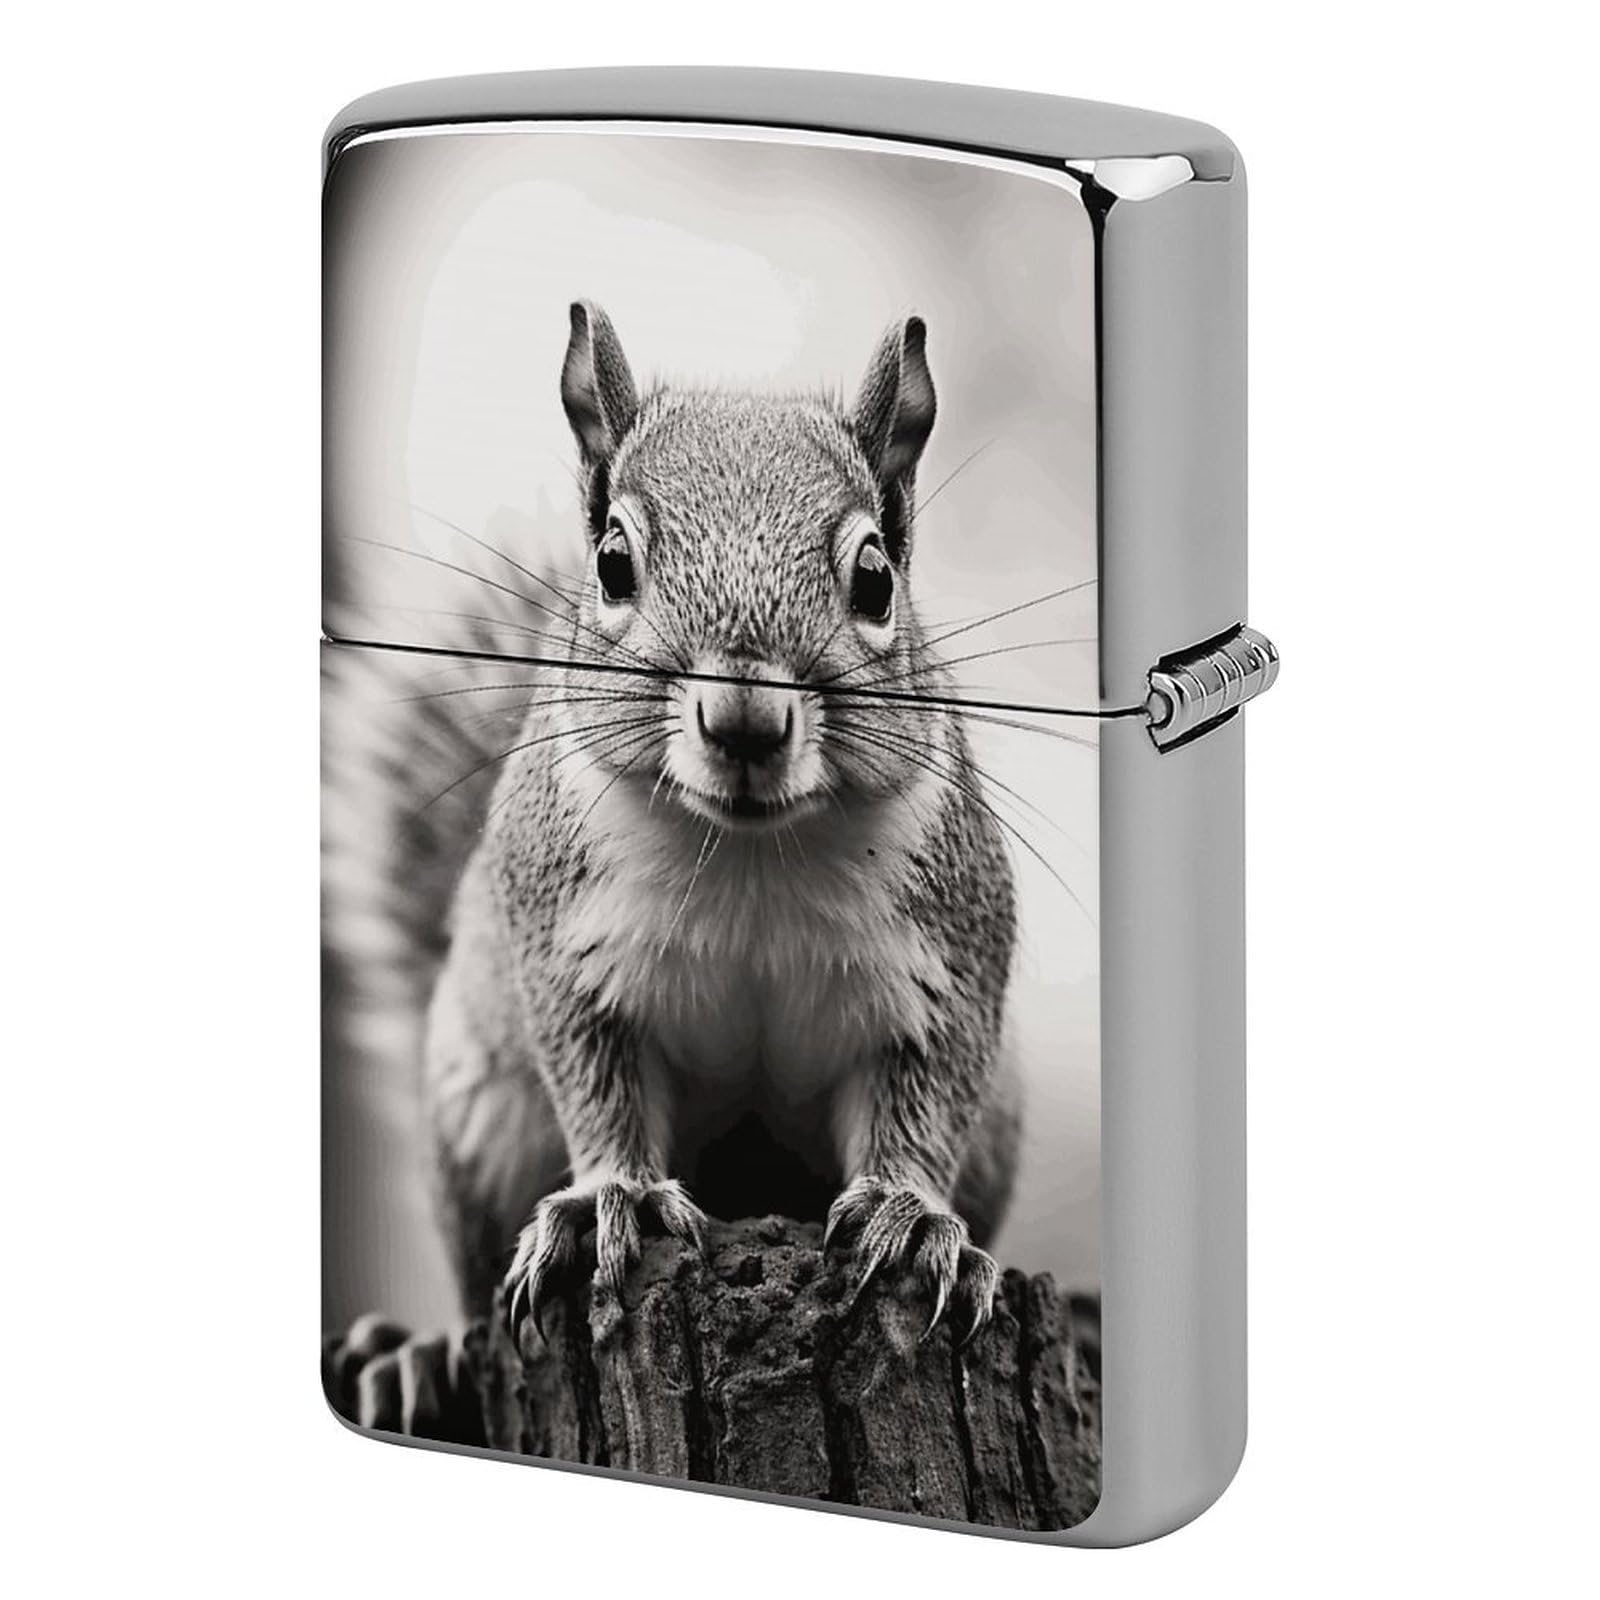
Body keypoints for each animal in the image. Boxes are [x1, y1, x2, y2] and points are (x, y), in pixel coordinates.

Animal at [326, 301, 1021, 1370]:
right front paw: (612, 1199)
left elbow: (929, 1099)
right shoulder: (563, 944)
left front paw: (910, 1219)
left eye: (875, 577)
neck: (746, 854)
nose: (744, 721)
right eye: (613, 565)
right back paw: (419, 1350)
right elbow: (596, 1083)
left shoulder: (950, 959)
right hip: (479, 1110)